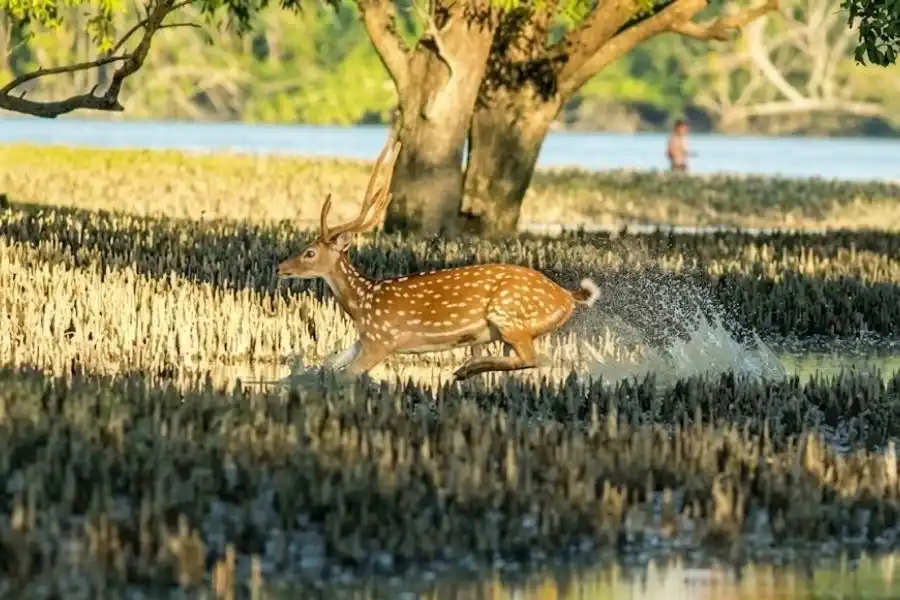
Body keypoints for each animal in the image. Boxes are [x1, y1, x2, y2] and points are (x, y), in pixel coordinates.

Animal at [275, 136, 601, 382]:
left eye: (309, 252)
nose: (280, 267)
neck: (362, 304)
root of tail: (568, 296)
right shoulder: (364, 338)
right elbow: (330, 364)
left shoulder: (383, 339)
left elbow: (346, 376)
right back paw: (466, 370)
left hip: (509, 315)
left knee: (533, 357)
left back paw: (465, 370)